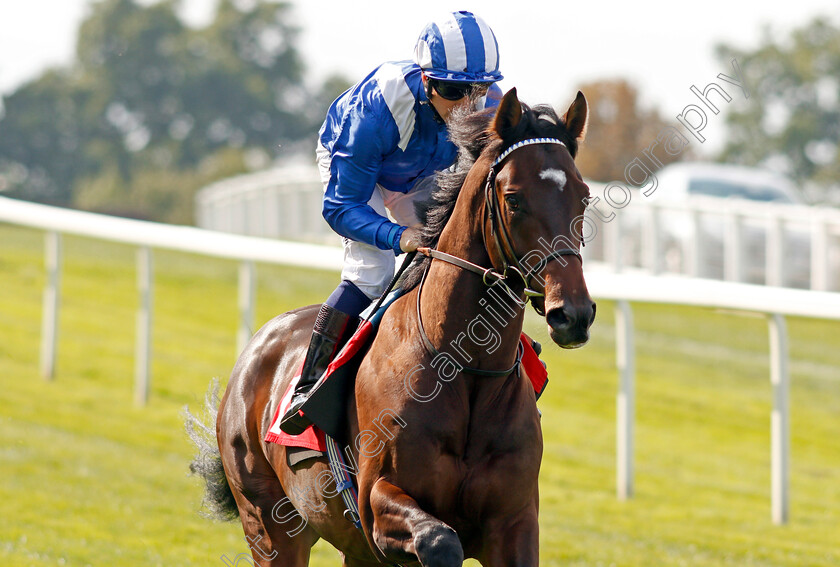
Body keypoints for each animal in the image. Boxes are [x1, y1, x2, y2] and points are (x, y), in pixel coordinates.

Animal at [189, 87, 596, 564]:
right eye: (513, 198)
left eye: (584, 197)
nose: (573, 313)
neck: (464, 367)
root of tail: (257, 346)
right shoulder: (376, 503)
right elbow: (440, 540)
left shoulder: (514, 522)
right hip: (268, 524)